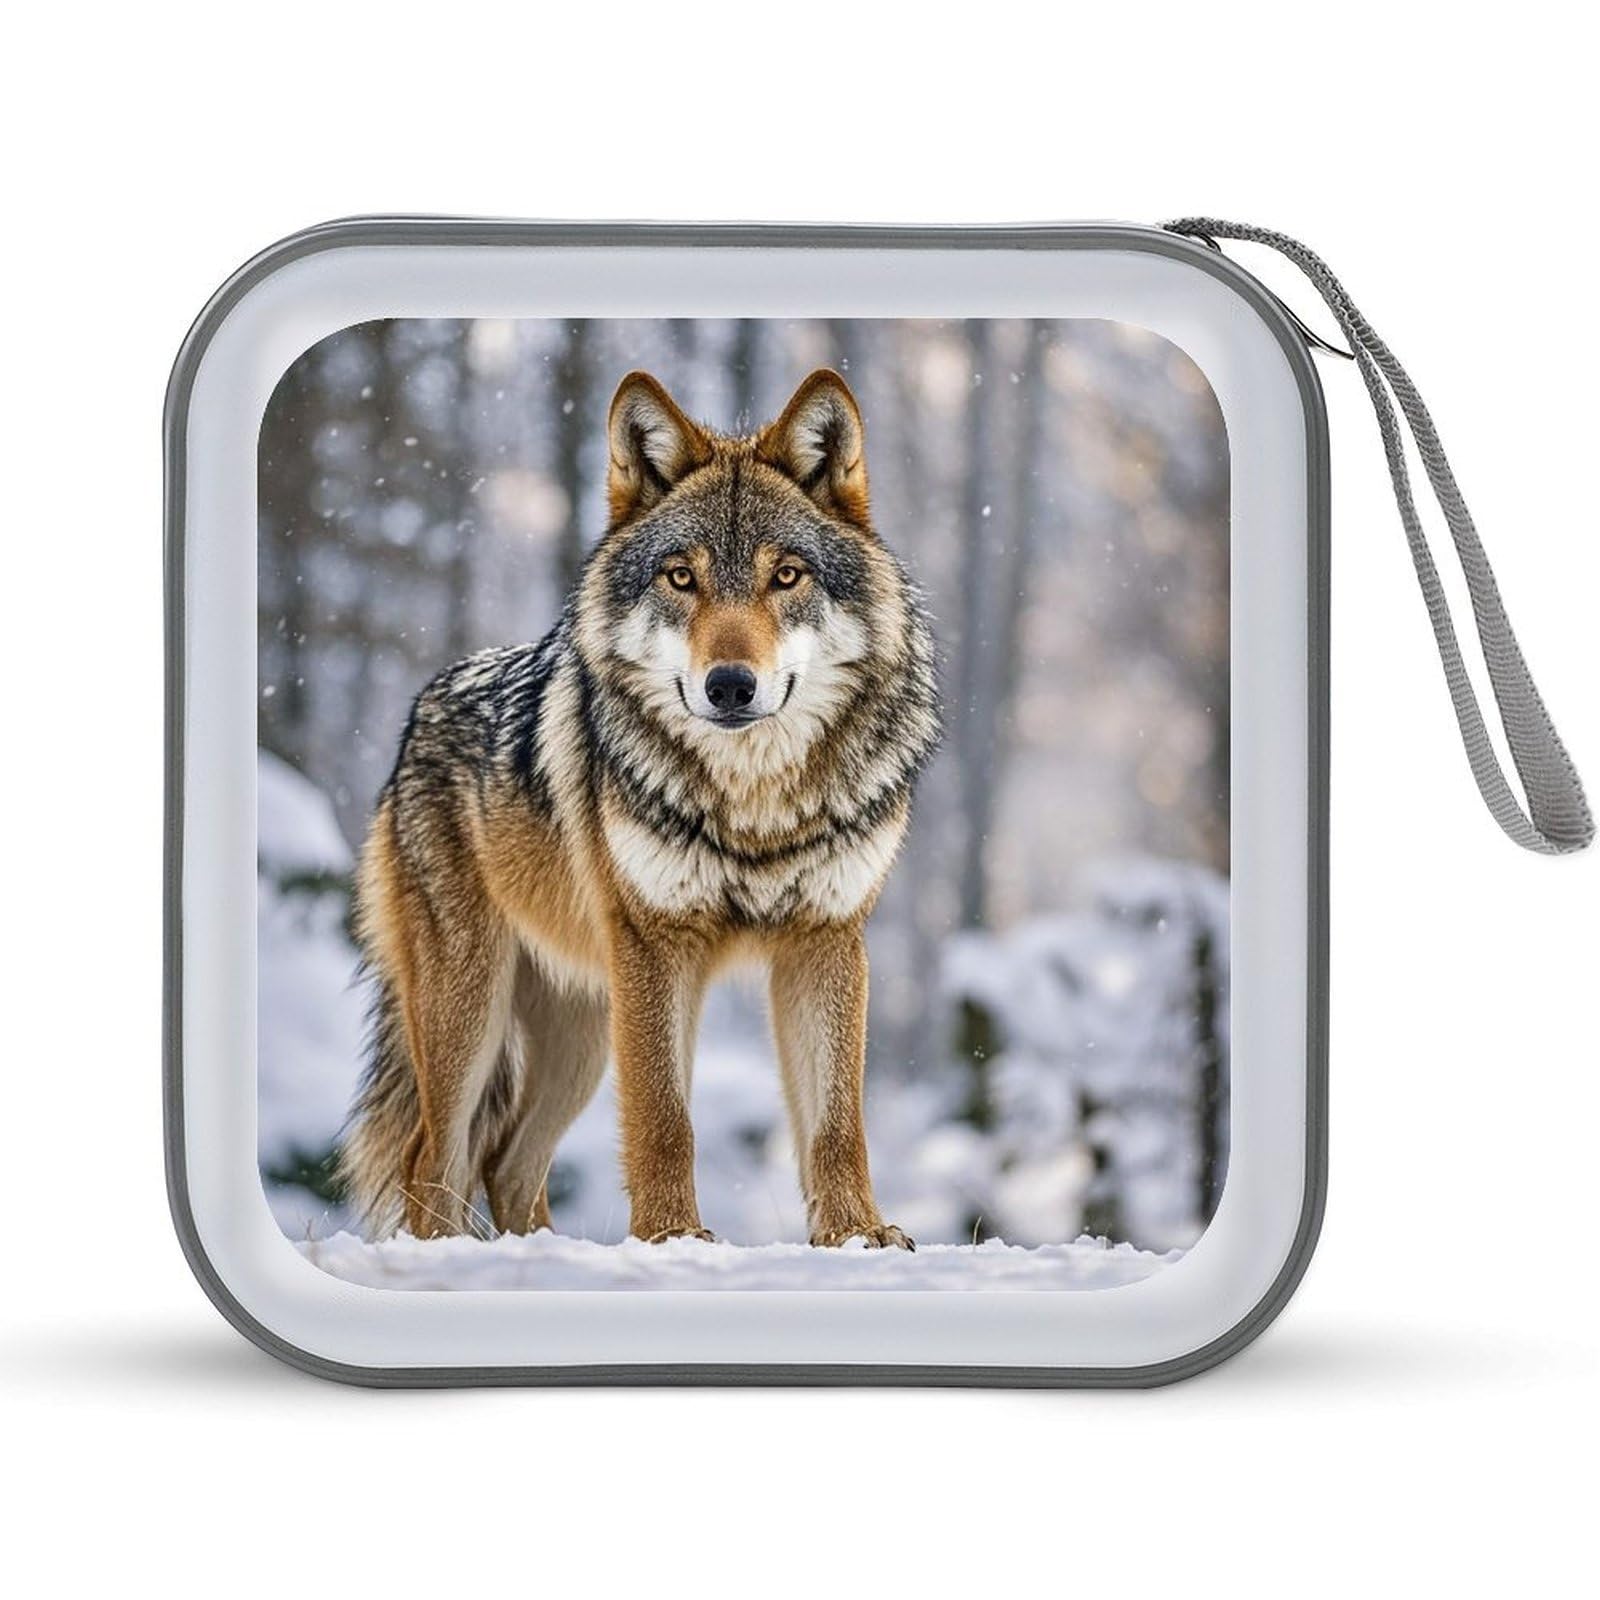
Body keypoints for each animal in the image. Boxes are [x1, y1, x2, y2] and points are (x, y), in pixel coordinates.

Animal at [341, 367, 941, 1248]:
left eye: (786, 576)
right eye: (681, 577)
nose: (730, 685)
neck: (754, 806)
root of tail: (417, 711)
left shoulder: (825, 940)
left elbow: (837, 1123)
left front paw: (857, 1236)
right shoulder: (658, 946)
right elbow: (665, 1119)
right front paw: (670, 1240)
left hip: (584, 1028)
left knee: (509, 1163)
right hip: (474, 1009)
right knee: (433, 1160)